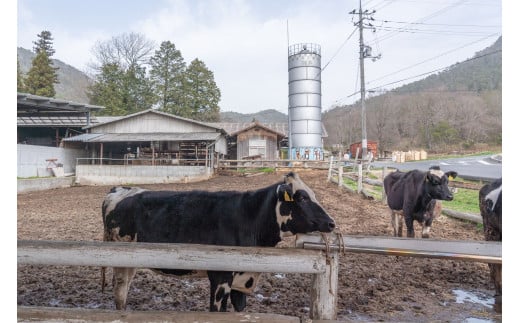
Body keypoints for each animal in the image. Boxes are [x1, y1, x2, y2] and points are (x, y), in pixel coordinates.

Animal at [101, 173, 338, 312]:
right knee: (119, 291)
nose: (331, 222)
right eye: (302, 197)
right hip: (120, 257)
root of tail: (121, 189)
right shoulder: (220, 276)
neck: (249, 216)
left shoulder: (241, 280)